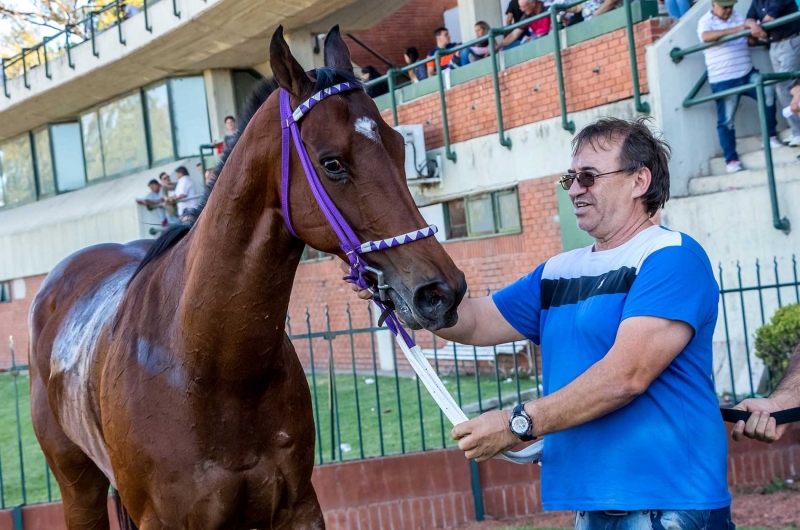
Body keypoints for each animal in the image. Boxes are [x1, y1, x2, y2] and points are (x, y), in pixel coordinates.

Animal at [31, 26, 466, 524]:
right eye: (332, 162)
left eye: (397, 145)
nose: (441, 291)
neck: (211, 368)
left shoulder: (298, 506)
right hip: (78, 487)